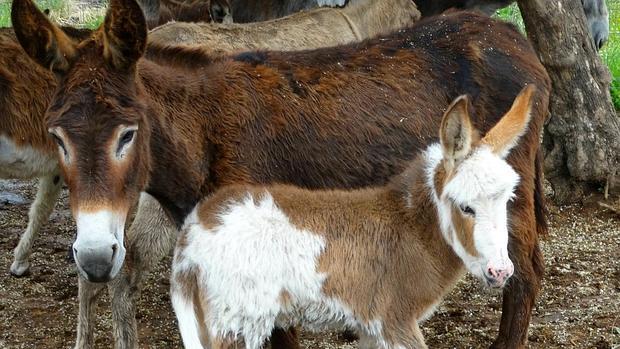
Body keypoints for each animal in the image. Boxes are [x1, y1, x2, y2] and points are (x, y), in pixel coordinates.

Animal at [168, 86, 532, 346]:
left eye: (507, 200)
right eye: (465, 206)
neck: (411, 227)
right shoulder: (395, 321)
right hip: (237, 320)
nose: (500, 272)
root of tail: (194, 232)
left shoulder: (371, 326)